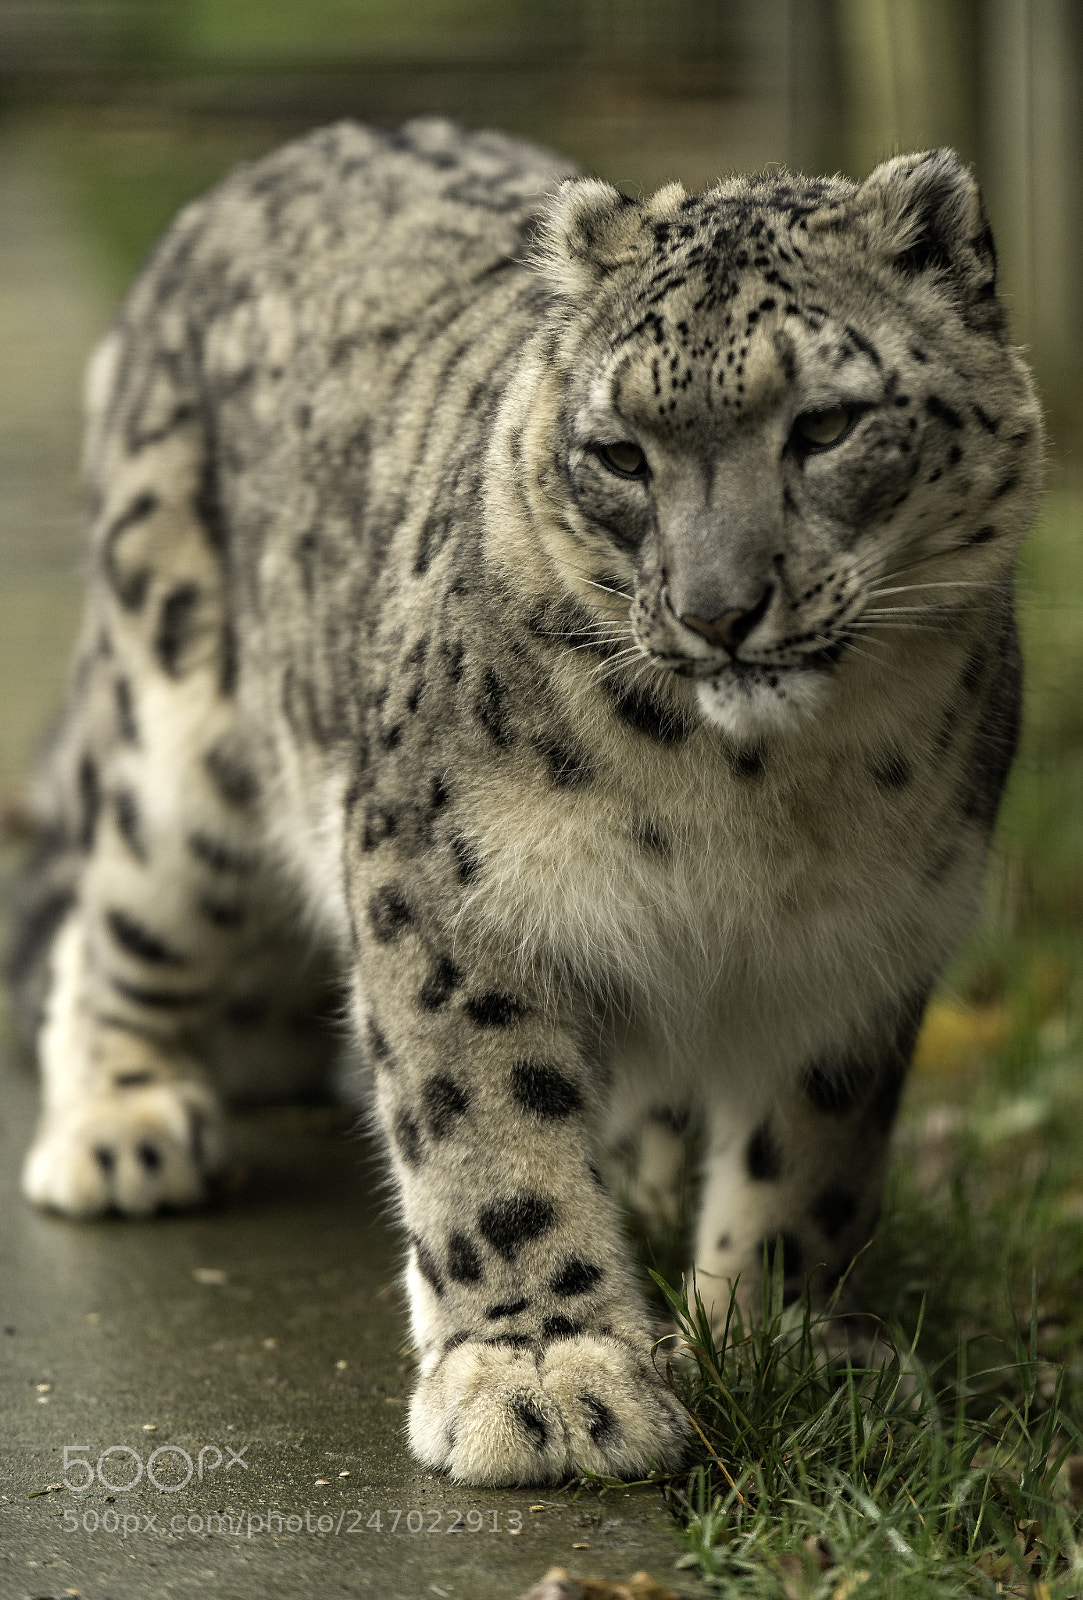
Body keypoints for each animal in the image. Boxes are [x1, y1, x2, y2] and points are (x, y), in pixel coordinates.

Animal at [7, 117, 1042, 1488]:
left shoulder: (868, 933)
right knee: (115, 923)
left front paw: (786, 1345)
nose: (718, 610)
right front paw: (546, 1380)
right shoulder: (453, 882)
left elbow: (813, 1151)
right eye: (619, 455)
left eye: (824, 424)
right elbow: (490, 1128)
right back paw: (123, 1128)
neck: (760, 800)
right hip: (179, 760)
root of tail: (266, 164)